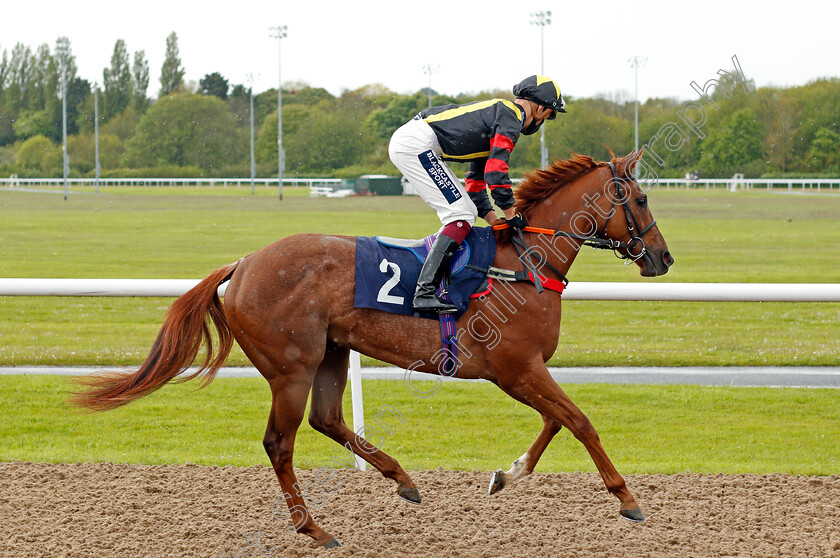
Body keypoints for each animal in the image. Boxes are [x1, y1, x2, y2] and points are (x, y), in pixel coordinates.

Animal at [74, 152, 676, 552]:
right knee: (280, 443)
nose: (663, 258)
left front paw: (508, 474)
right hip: (291, 367)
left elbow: (556, 422)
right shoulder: (515, 369)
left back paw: (401, 479)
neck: (524, 261)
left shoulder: (523, 370)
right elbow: (579, 421)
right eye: (642, 198)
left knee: (327, 419)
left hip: (331, 353)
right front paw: (627, 499)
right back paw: (314, 528)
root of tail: (243, 264)